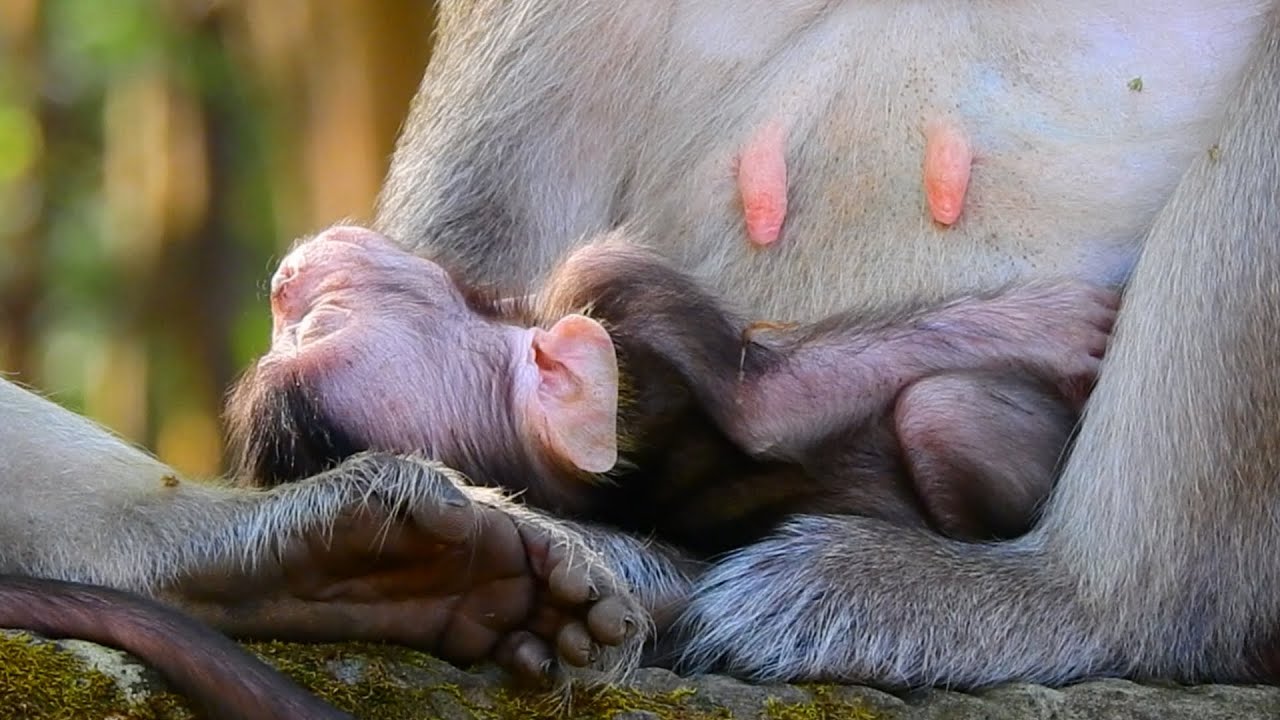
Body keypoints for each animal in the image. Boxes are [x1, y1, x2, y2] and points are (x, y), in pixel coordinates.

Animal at [227, 226, 1114, 554]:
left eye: (309, 322)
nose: (278, 284)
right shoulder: (620, 295)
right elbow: (769, 405)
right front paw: (1062, 320)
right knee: (938, 410)